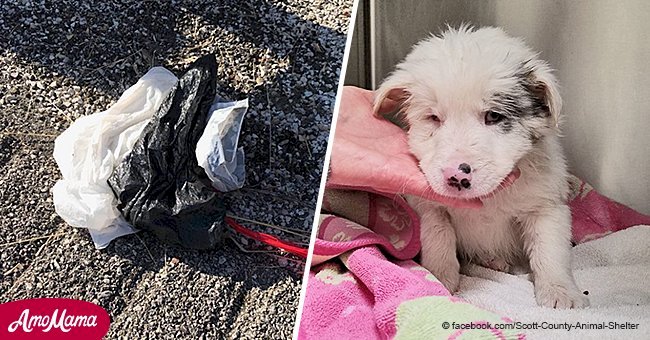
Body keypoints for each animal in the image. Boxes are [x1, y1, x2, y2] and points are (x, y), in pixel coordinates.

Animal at [372, 25, 584, 308]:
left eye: (493, 115)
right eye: (433, 117)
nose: (455, 176)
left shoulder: (546, 206)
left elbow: (549, 251)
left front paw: (561, 293)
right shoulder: (428, 206)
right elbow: (438, 238)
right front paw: (439, 280)